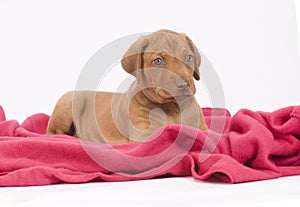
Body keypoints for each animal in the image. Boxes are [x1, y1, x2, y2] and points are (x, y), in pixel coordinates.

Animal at [46, 29, 209, 143]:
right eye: (158, 61)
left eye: (189, 58)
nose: (184, 85)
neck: (172, 108)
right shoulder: (144, 136)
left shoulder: (202, 129)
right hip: (68, 100)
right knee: (53, 133)